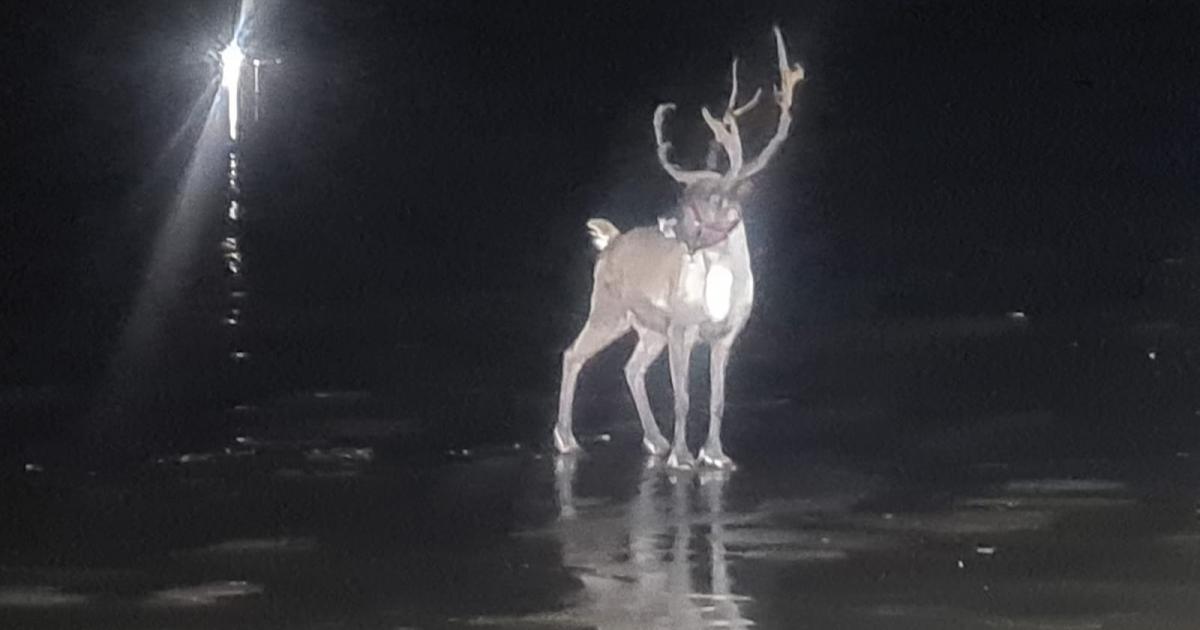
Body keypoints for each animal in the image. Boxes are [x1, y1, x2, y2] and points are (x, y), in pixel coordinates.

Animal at [553, 26, 805, 470]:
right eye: (683, 195)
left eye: (713, 199)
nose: (668, 223)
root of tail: (610, 240)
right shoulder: (681, 328)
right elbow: (684, 397)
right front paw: (683, 456)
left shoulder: (725, 336)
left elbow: (719, 399)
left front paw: (716, 455)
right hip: (609, 308)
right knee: (573, 354)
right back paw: (567, 439)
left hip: (646, 328)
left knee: (631, 368)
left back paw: (654, 440)